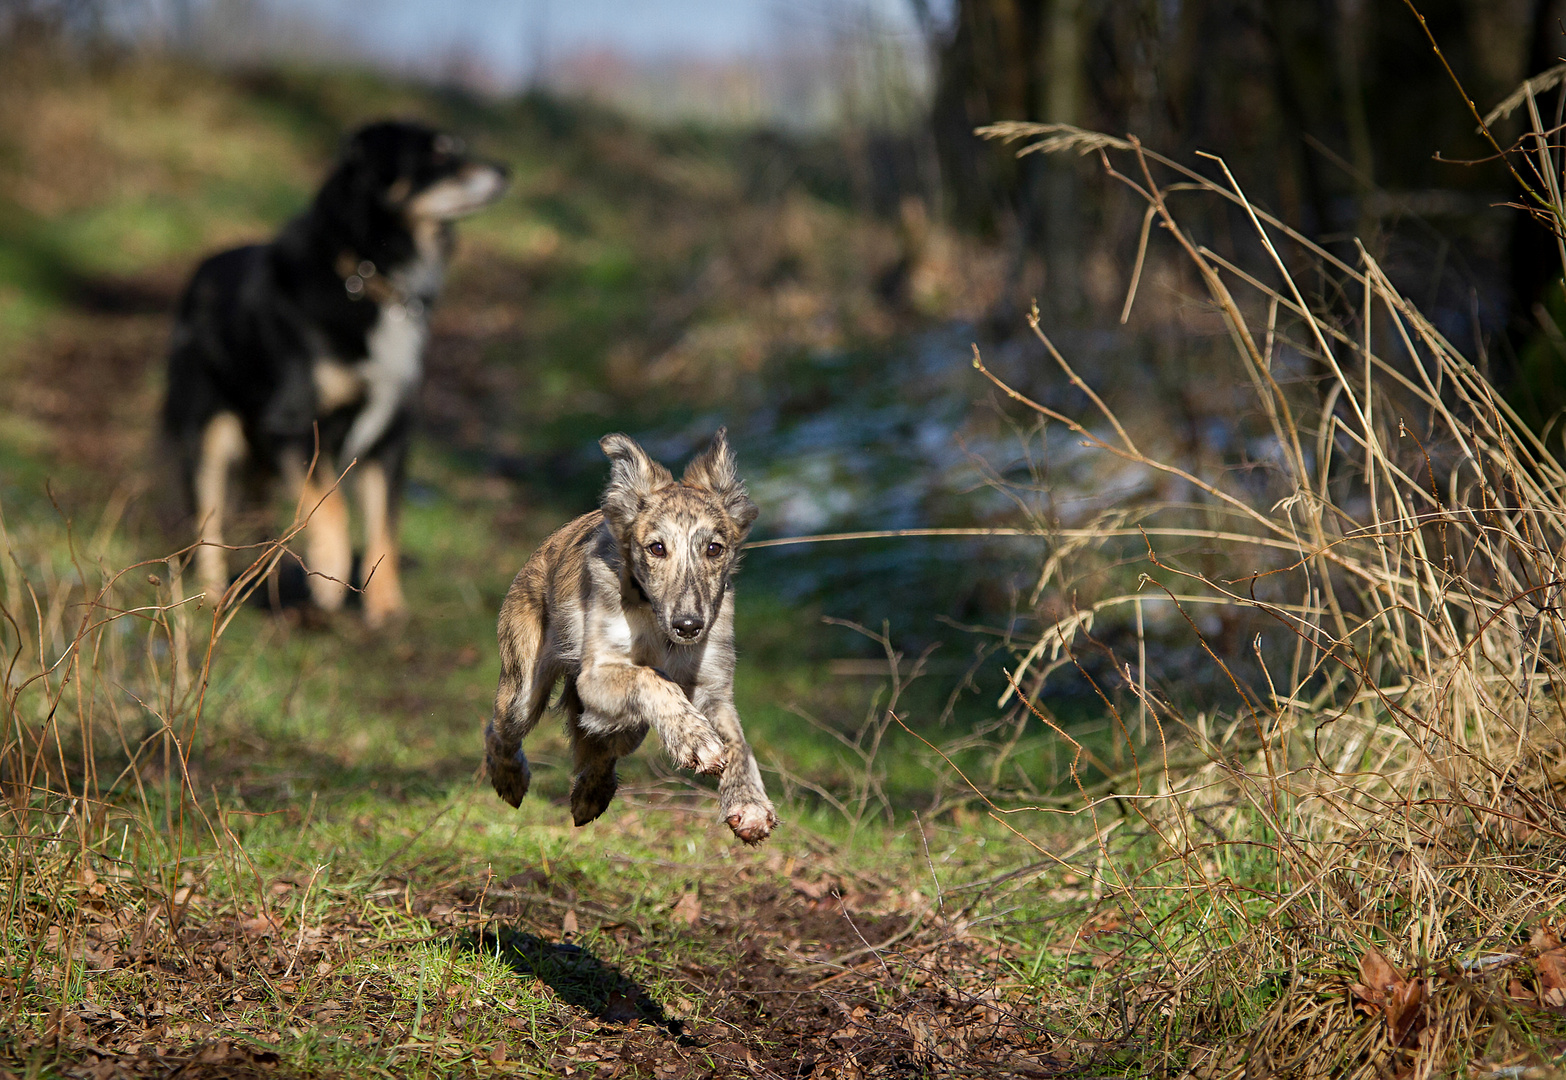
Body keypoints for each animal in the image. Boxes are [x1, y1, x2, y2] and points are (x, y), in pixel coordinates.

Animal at [159, 117, 504, 622]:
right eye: (439, 152)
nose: (506, 172)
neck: (370, 273)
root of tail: (199, 272)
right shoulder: (294, 424)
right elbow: (332, 505)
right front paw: (330, 578)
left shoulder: (390, 435)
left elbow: (385, 524)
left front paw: (385, 609)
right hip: (206, 432)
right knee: (208, 517)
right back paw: (210, 598)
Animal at [488, 425, 776, 838]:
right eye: (656, 548)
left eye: (714, 548)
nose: (688, 626)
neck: (658, 626)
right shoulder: (594, 676)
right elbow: (650, 677)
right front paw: (695, 738)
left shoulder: (713, 687)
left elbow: (738, 742)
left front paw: (749, 803)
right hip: (523, 690)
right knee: (500, 730)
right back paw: (509, 778)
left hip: (626, 726)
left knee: (603, 747)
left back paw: (591, 793)